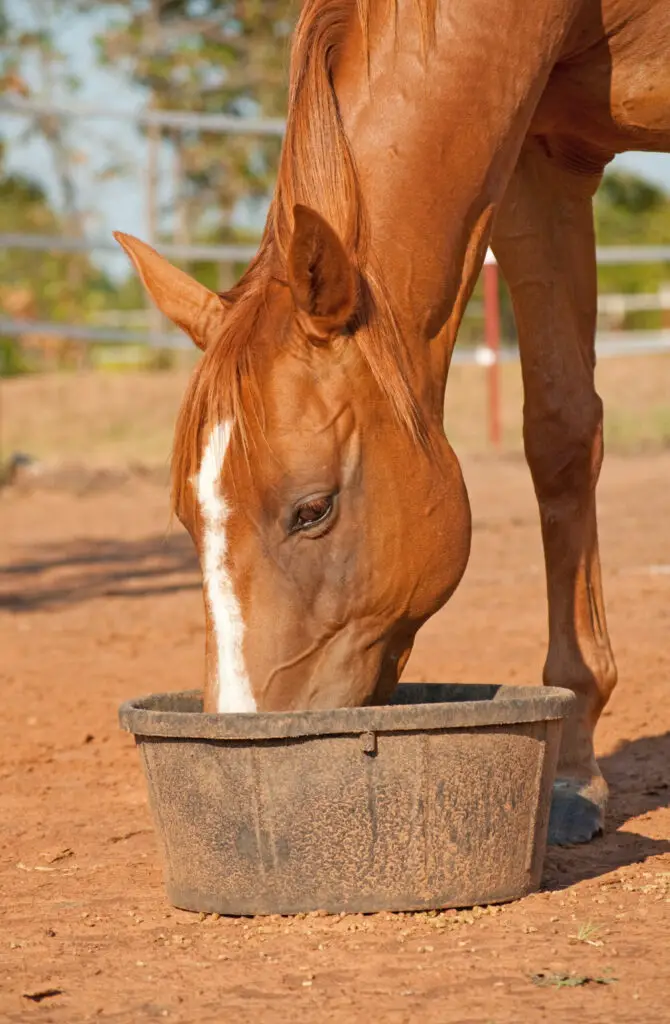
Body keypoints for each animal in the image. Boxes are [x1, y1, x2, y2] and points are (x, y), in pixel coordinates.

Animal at [115, 0, 670, 847]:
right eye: (185, 517)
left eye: (313, 510)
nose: (247, 729)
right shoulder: (540, 161)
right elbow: (561, 430)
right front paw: (576, 774)